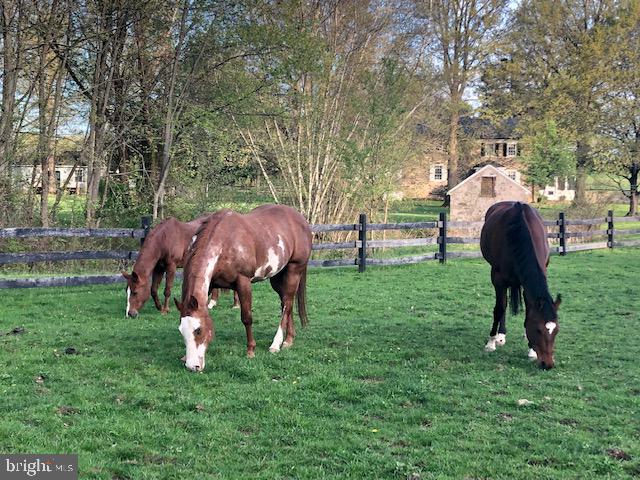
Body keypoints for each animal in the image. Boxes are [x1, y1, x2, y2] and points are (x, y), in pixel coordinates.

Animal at [174, 204, 312, 372]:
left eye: (198, 330)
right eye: (181, 331)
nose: (192, 366)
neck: (225, 242)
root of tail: (301, 220)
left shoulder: (243, 282)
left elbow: (246, 317)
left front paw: (250, 350)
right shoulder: (210, 285)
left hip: (294, 271)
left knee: (287, 305)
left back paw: (276, 344)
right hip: (278, 277)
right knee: (287, 303)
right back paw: (289, 340)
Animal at [480, 201, 561, 369]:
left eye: (556, 331)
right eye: (538, 330)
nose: (548, 364)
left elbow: (528, 311)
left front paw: (531, 350)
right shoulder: (498, 279)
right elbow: (499, 308)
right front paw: (491, 342)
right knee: (503, 304)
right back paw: (500, 335)